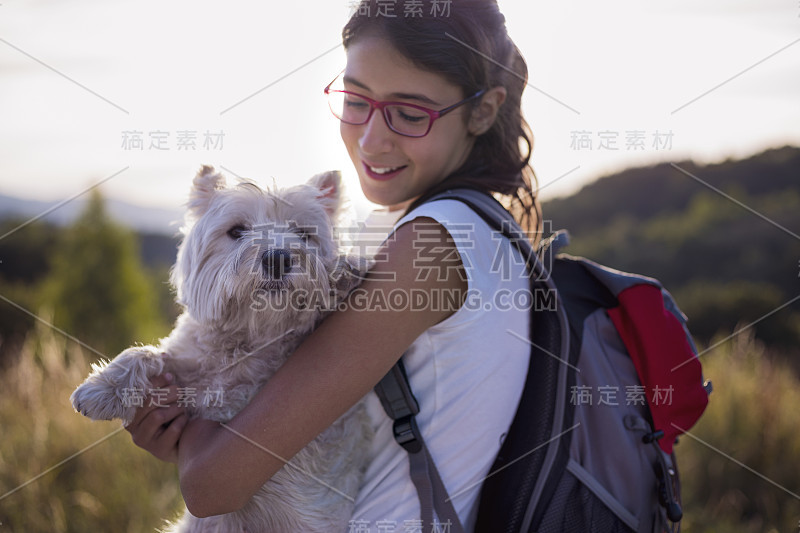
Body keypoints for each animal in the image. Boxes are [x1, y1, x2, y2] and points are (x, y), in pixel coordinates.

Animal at [72, 166, 372, 532]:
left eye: (303, 233)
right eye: (236, 231)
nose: (277, 258)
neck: (250, 339)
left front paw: (343, 269)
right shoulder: (188, 370)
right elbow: (146, 354)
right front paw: (101, 389)